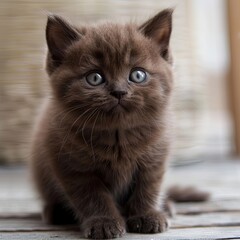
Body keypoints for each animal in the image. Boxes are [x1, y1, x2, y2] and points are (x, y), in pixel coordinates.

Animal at [31, 8, 174, 238]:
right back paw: (55, 213)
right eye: (95, 78)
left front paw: (146, 215)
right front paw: (104, 223)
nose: (119, 92)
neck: (118, 136)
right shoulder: (73, 168)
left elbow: (148, 187)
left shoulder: (156, 158)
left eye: (138, 74)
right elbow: (92, 197)